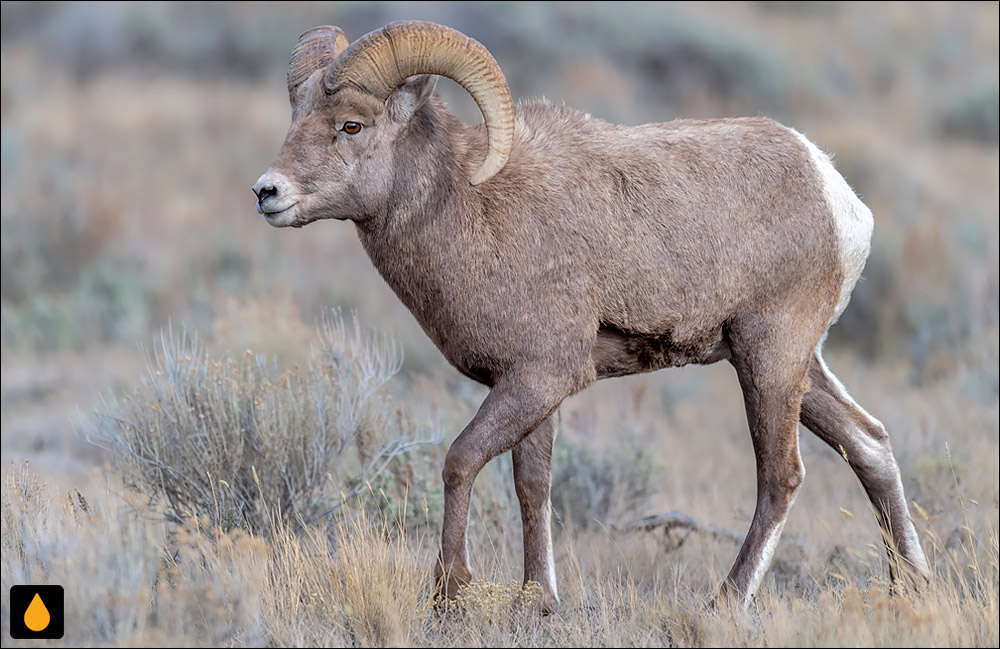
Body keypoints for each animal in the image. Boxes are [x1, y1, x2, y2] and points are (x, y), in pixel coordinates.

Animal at [254, 19, 932, 608]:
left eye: (351, 124)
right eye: (296, 116)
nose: (267, 192)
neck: (474, 212)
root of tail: (838, 197)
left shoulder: (539, 378)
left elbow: (460, 461)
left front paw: (450, 592)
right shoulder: (530, 390)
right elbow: (533, 486)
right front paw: (538, 602)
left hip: (768, 360)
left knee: (781, 477)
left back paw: (726, 603)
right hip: (796, 368)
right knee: (870, 446)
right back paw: (912, 589)